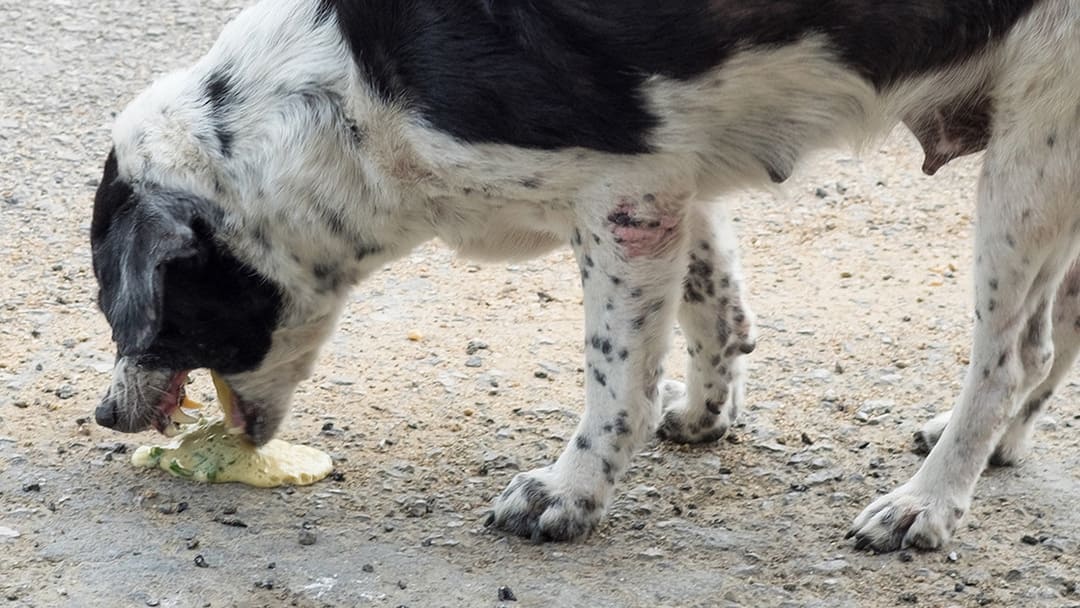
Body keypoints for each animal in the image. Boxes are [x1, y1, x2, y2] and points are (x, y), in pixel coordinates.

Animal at [90, 0, 1080, 552]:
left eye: (126, 313)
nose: (103, 414)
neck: (344, 94)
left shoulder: (623, 197)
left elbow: (618, 380)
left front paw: (571, 492)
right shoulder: (674, 181)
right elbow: (717, 312)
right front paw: (704, 417)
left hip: (1032, 153)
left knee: (1010, 355)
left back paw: (928, 505)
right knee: (1050, 335)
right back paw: (993, 448)